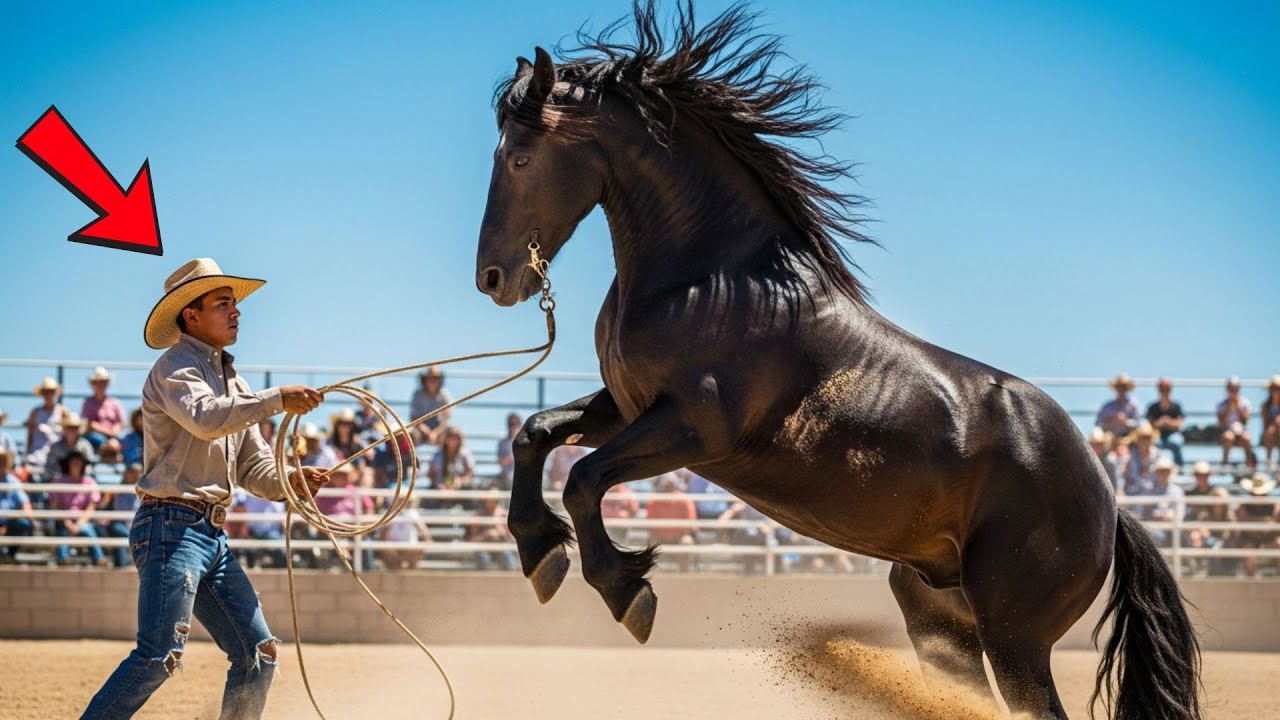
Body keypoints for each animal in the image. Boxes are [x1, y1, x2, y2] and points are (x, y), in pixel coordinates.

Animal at [473, 3, 1201, 718]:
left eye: (521, 158)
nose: (494, 278)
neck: (713, 277)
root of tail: (1108, 500)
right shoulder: (626, 406)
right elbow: (535, 435)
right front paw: (540, 551)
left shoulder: (693, 429)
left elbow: (583, 477)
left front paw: (627, 591)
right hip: (939, 618)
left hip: (1015, 637)